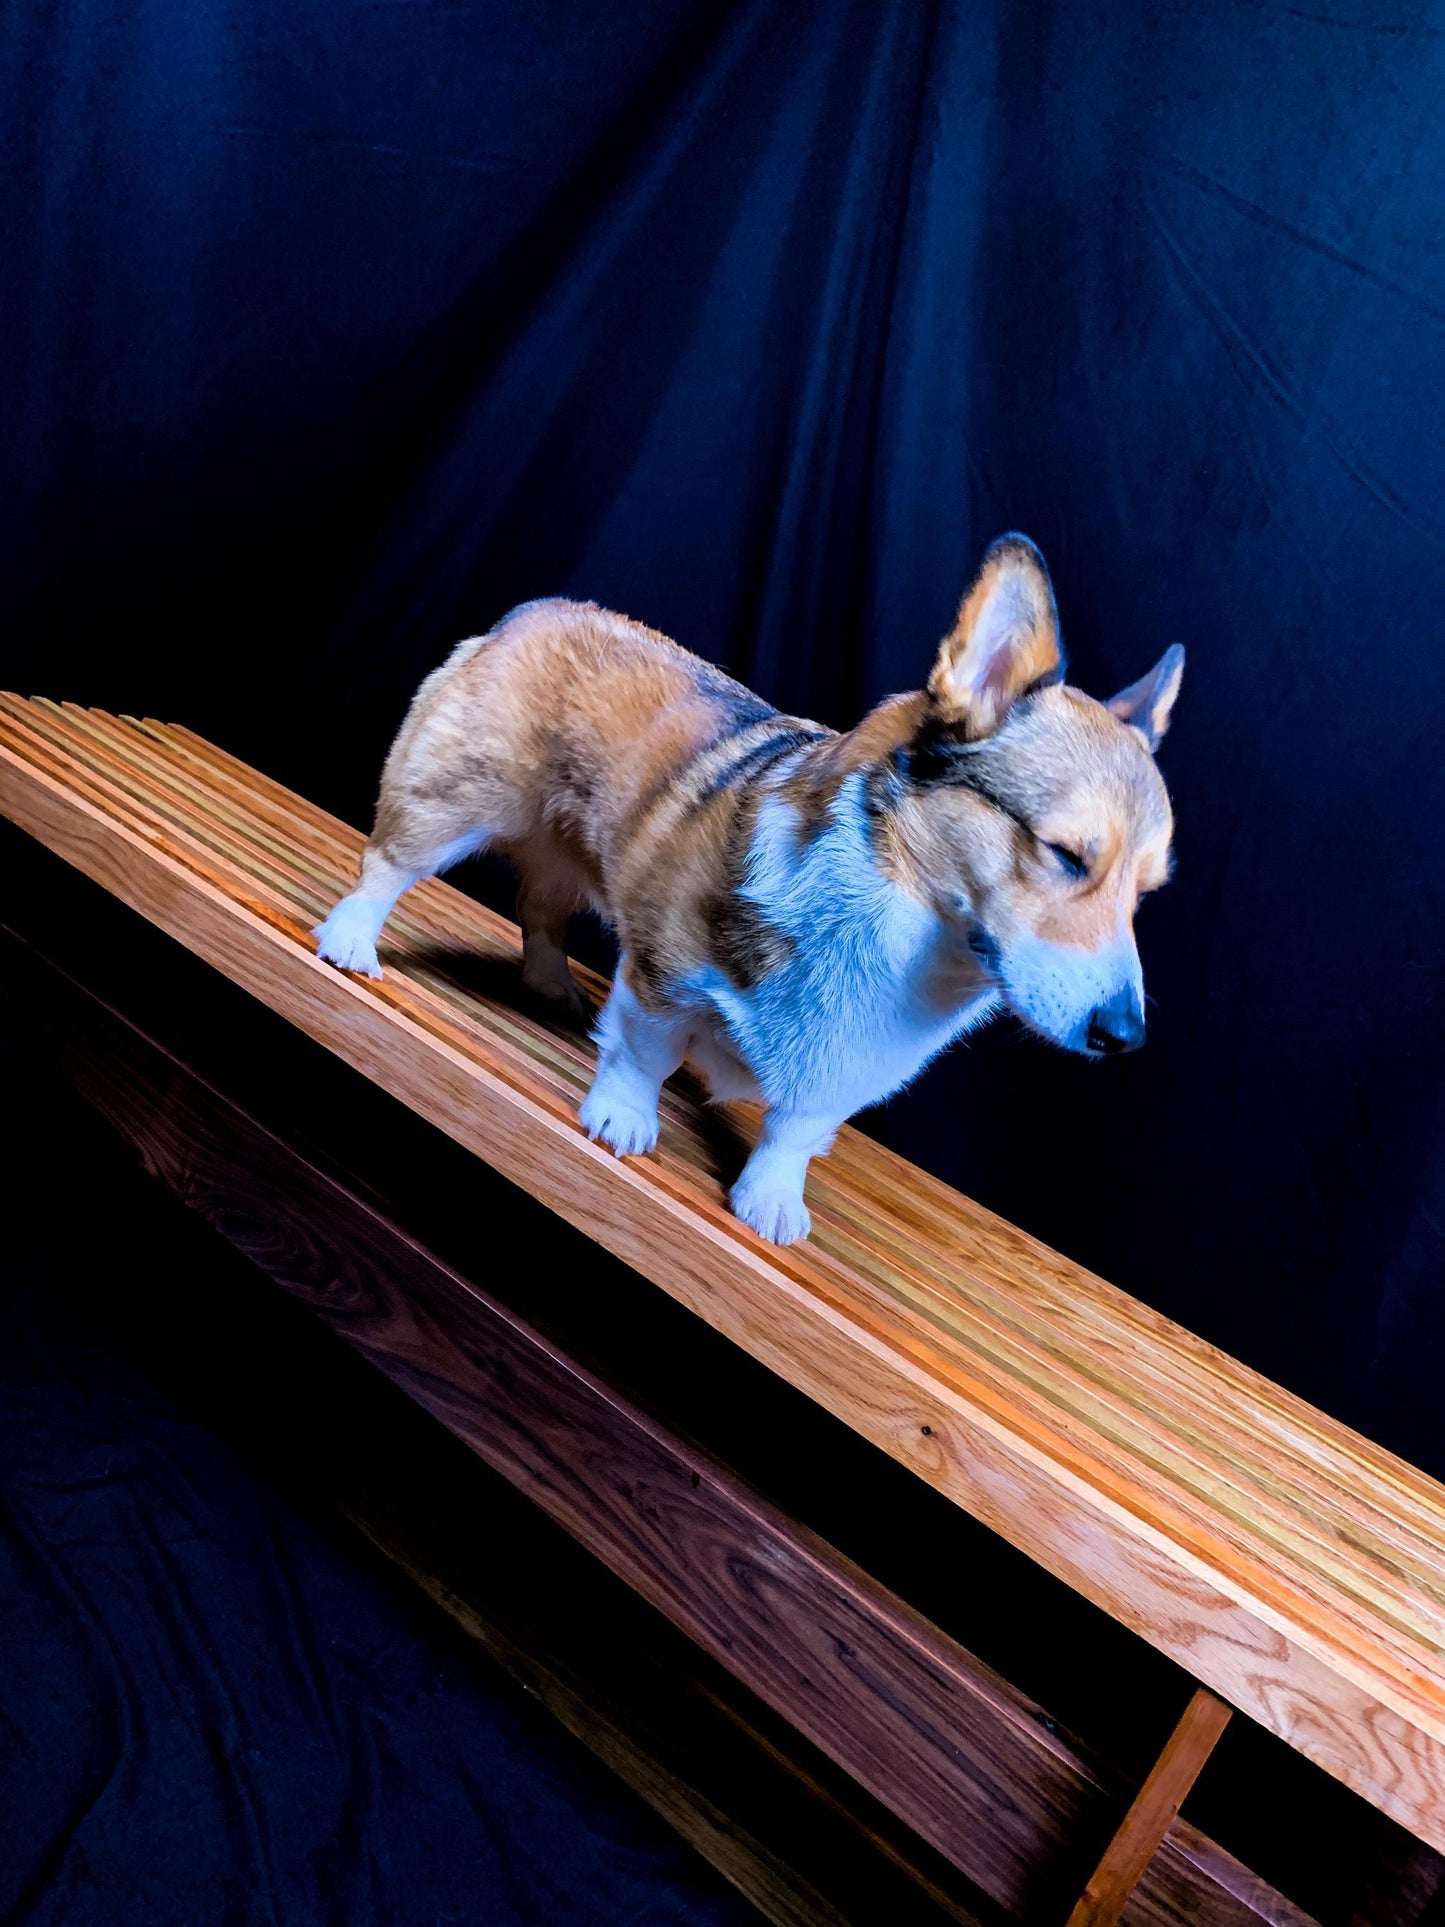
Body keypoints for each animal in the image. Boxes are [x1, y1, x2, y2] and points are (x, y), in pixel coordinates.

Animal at [319, 535, 1186, 1240]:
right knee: (388, 865)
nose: (1124, 1035)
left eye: (1145, 892)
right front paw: (621, 1118)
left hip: (562, 851)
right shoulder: (664, 971)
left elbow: (795, 1131)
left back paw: (547, 981)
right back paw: (352, 941)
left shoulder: (848, 1070)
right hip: (453, 798)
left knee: (540, 909)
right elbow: (644, 1050)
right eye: (1065, 854)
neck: (901, 924)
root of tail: (536, 611)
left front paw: (769, 1200)